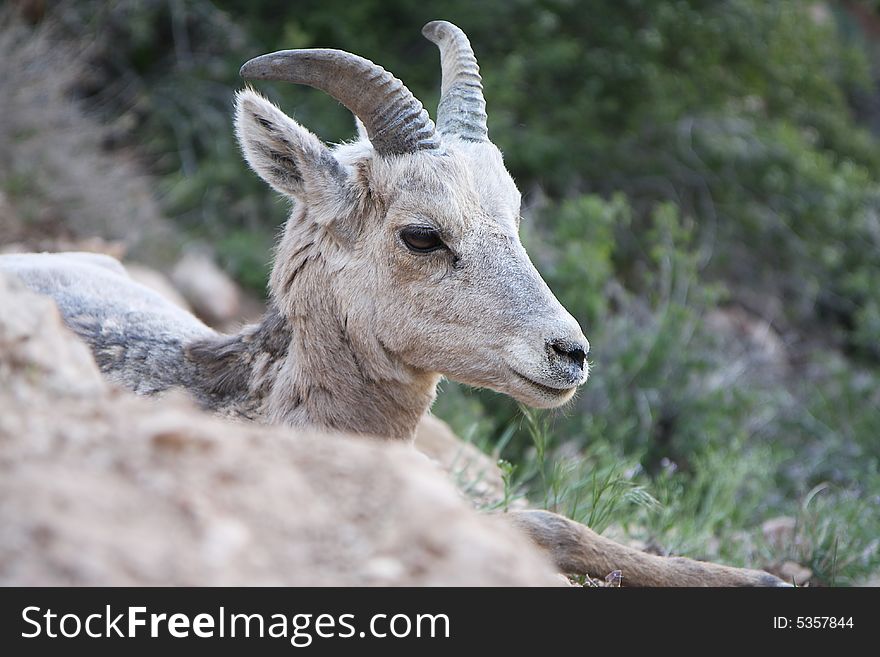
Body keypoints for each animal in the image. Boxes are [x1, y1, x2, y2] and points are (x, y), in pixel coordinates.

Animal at [0, 20, 784, 588]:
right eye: (422, 234)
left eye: (514, 214)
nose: (568, 352)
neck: (247, 400)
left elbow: (548, 523)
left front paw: (758, 579)